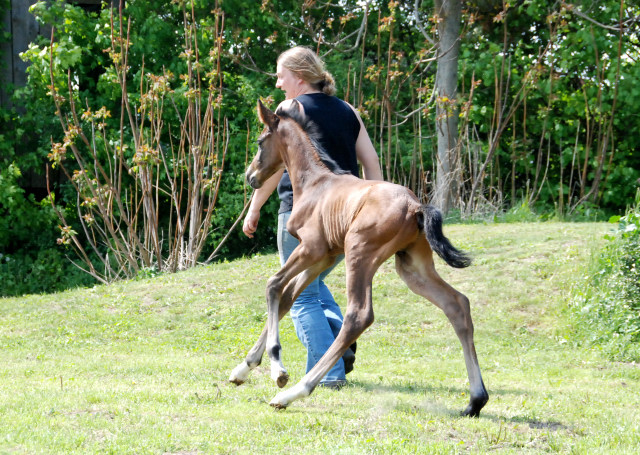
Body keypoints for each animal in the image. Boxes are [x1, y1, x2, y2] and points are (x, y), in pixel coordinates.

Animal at [230, 100, 490, 416]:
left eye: (259, 142)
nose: (250, 176)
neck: (314, 184)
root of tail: (416, 206)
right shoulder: (324, 257)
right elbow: (287, 296)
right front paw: (243, 369)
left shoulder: (312, 249)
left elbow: (273, 285)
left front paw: (278, 369)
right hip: (412, 266)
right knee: (457, 304)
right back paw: (475, 401)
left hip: (359, 252)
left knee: (358, 316)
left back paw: (294, 392)